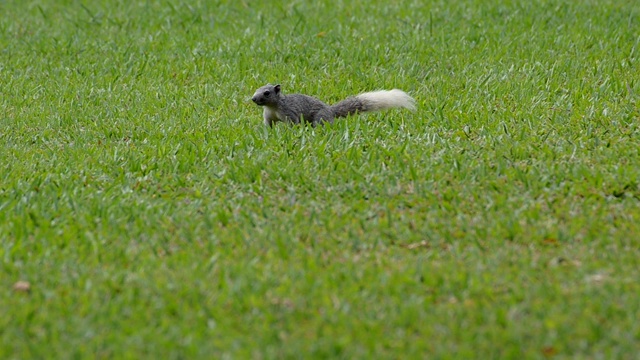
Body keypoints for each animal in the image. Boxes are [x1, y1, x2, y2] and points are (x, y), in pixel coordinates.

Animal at [250, 83, 416, 127]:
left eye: (266, 93)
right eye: (256, 89)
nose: (253, 99)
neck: (273, 106)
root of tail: (330, 111)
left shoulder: (289, 112)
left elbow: (294, 124)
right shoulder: (268, 116)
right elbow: (268, 124)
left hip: (320, 117)